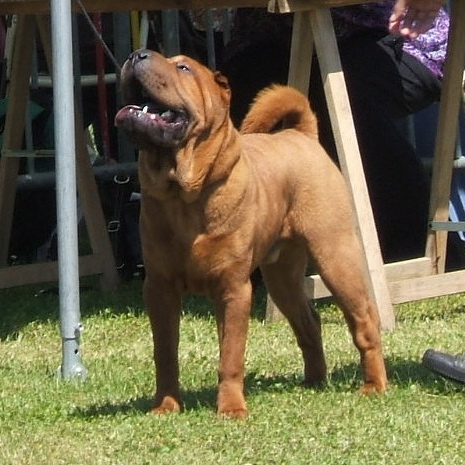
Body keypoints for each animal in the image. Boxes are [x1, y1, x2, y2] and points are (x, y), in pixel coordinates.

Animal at [114, 49, 386, 418]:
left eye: (183, 67)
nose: (136, 53)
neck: (184, 196)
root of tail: (302, 135)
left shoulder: (234, 288)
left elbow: (230, 355)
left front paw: (231, 409)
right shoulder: (159, 288)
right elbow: (165, 352)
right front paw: (166, 406)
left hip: (336, 255)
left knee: (364, 321)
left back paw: (374, 385)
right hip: (282, 277)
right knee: (309, 321)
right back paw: (314, 380)